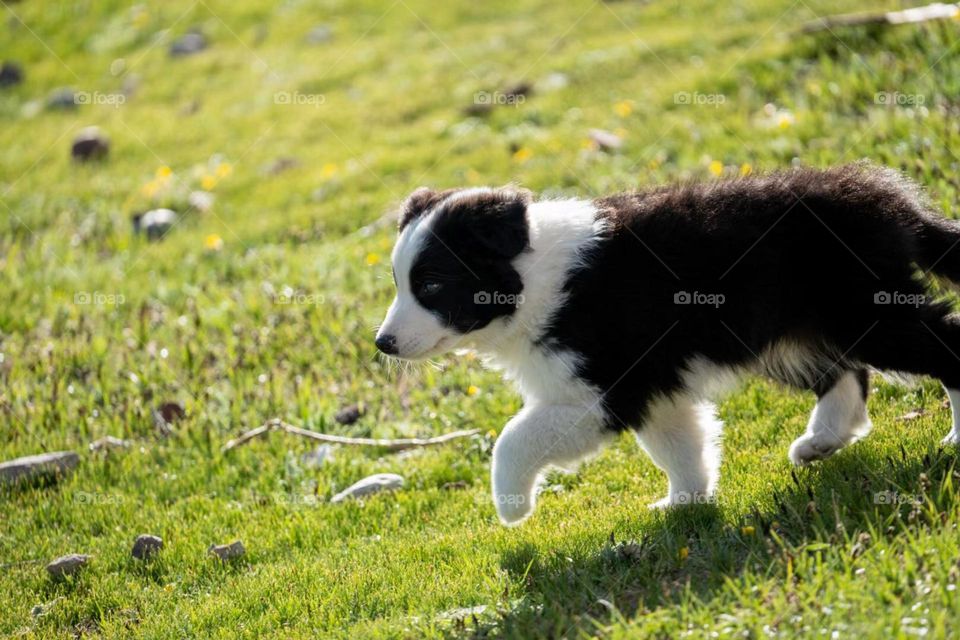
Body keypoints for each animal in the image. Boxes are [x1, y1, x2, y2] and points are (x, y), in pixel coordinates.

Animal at [374, 164, 960, 524]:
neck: (533, 276)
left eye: (430, 285)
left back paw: (954, 437)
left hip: (866, 311)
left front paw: (512, 506)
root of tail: (885, 200)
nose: (383, 343)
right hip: (800, 330)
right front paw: (685, 504)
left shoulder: (609, 388)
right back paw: (822, 441)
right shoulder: (655, 388)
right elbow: (679, 442)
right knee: (845, 373)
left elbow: (514, 438)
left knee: (944, 345)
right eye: (400, 282)